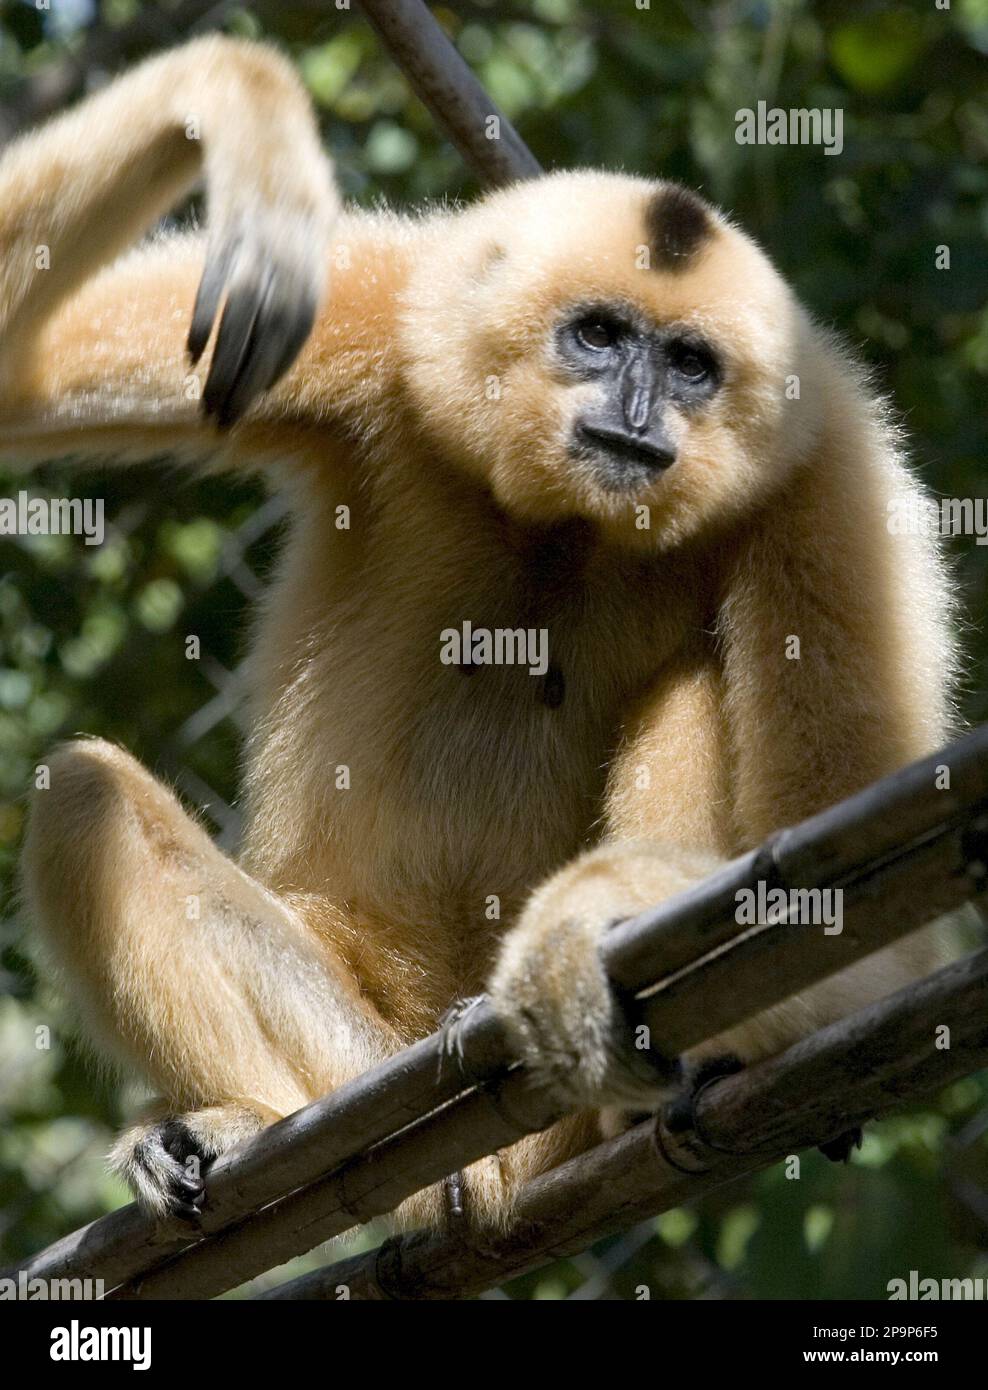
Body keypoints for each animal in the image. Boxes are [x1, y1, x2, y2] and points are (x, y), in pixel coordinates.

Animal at [0, 35, 960, 1230]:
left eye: (689, 363)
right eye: (598, 335)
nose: (638, 411)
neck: (565, 524)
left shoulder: (834, 478)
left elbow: (872, 936)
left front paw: (588, 920)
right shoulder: (392, 314)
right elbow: (17, 372)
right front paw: (239, 106)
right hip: (353, 1047)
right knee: (83, 794)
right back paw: (253, 1126)